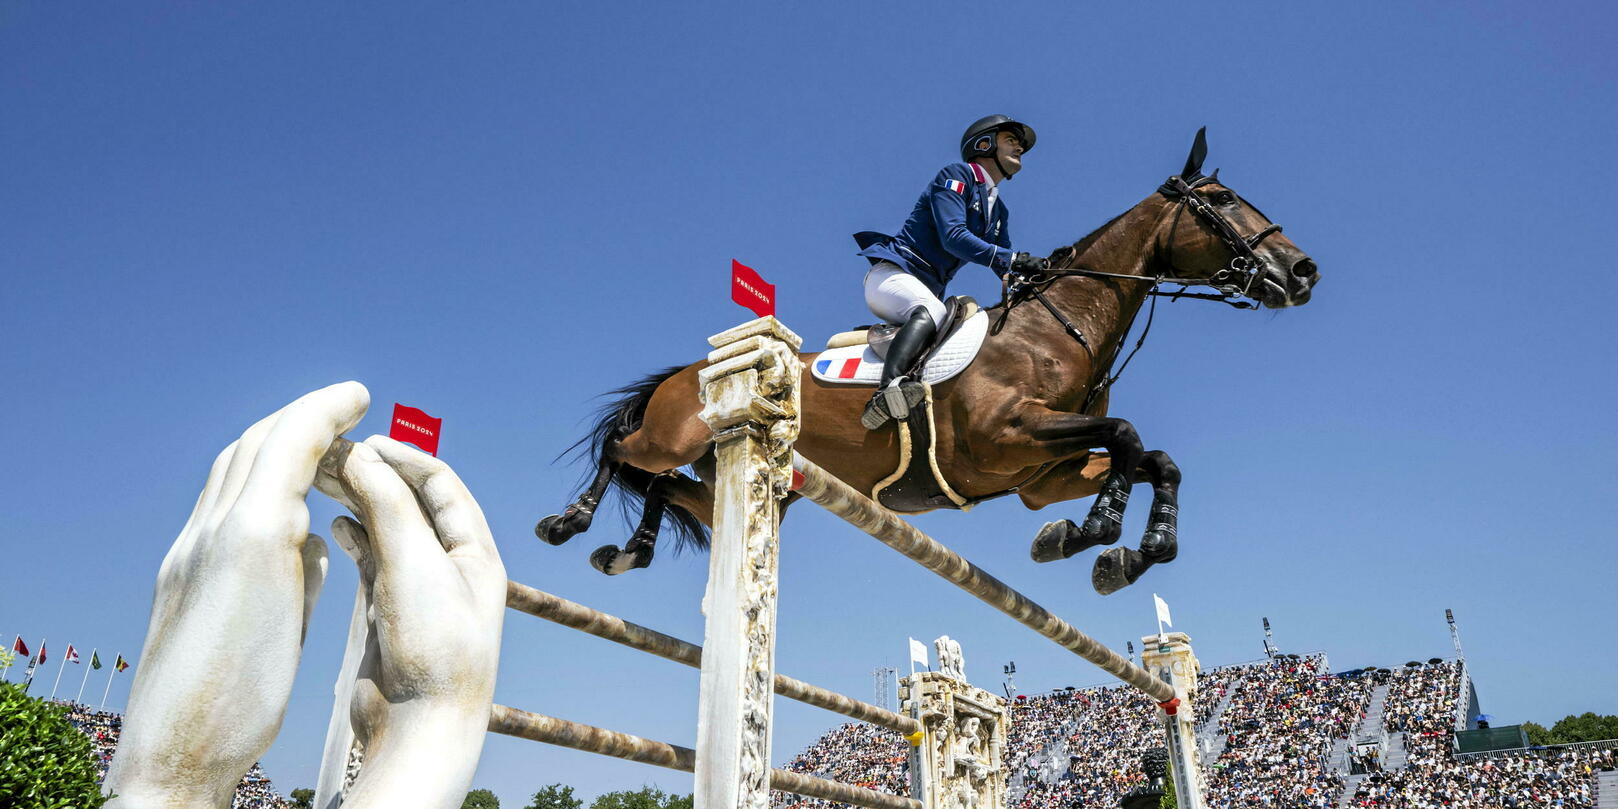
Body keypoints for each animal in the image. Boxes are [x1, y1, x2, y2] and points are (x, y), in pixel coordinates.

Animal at [537, 127, 1320, 595]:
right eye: (1222, 201)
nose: (1303, 270)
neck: (1058, 327)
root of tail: (687, 372)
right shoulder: (1007, 437)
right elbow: (1128, 436)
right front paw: (1097, 533)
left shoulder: (1042, 475)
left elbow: (1155, 458)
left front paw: (1123, 549)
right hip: (677, 430)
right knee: (622, 448)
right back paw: (568, 522)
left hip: (755, 479)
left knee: (665, 489)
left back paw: (627, 551)